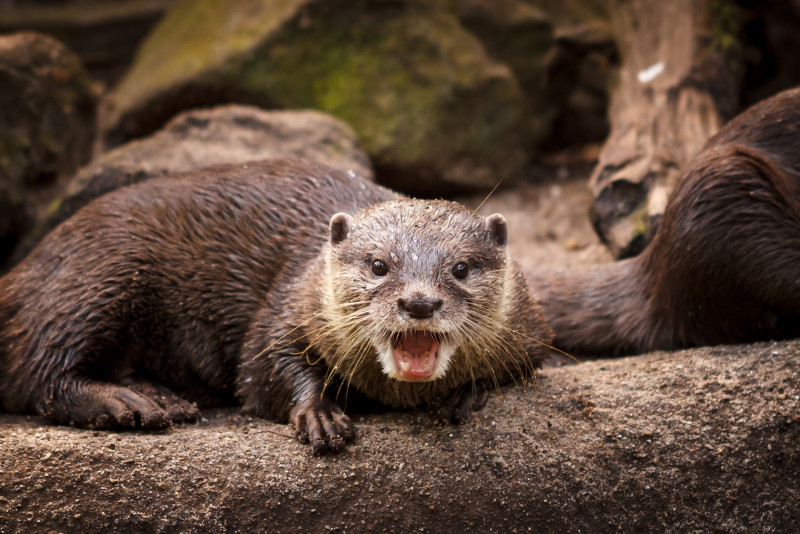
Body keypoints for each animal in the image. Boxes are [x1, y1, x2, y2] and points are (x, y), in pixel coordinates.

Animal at [0, 159, 550, 454]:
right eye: (378, 264)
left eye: (460, 268)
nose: (418, 301)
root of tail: (26, 266)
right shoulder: (287, 305)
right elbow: (263, 368)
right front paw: (319, 415)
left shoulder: (530, 330)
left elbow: (521, 365)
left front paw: (465, 394)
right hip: (96, 278)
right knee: (41, 369)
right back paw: (128, 404)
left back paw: (160, 398)